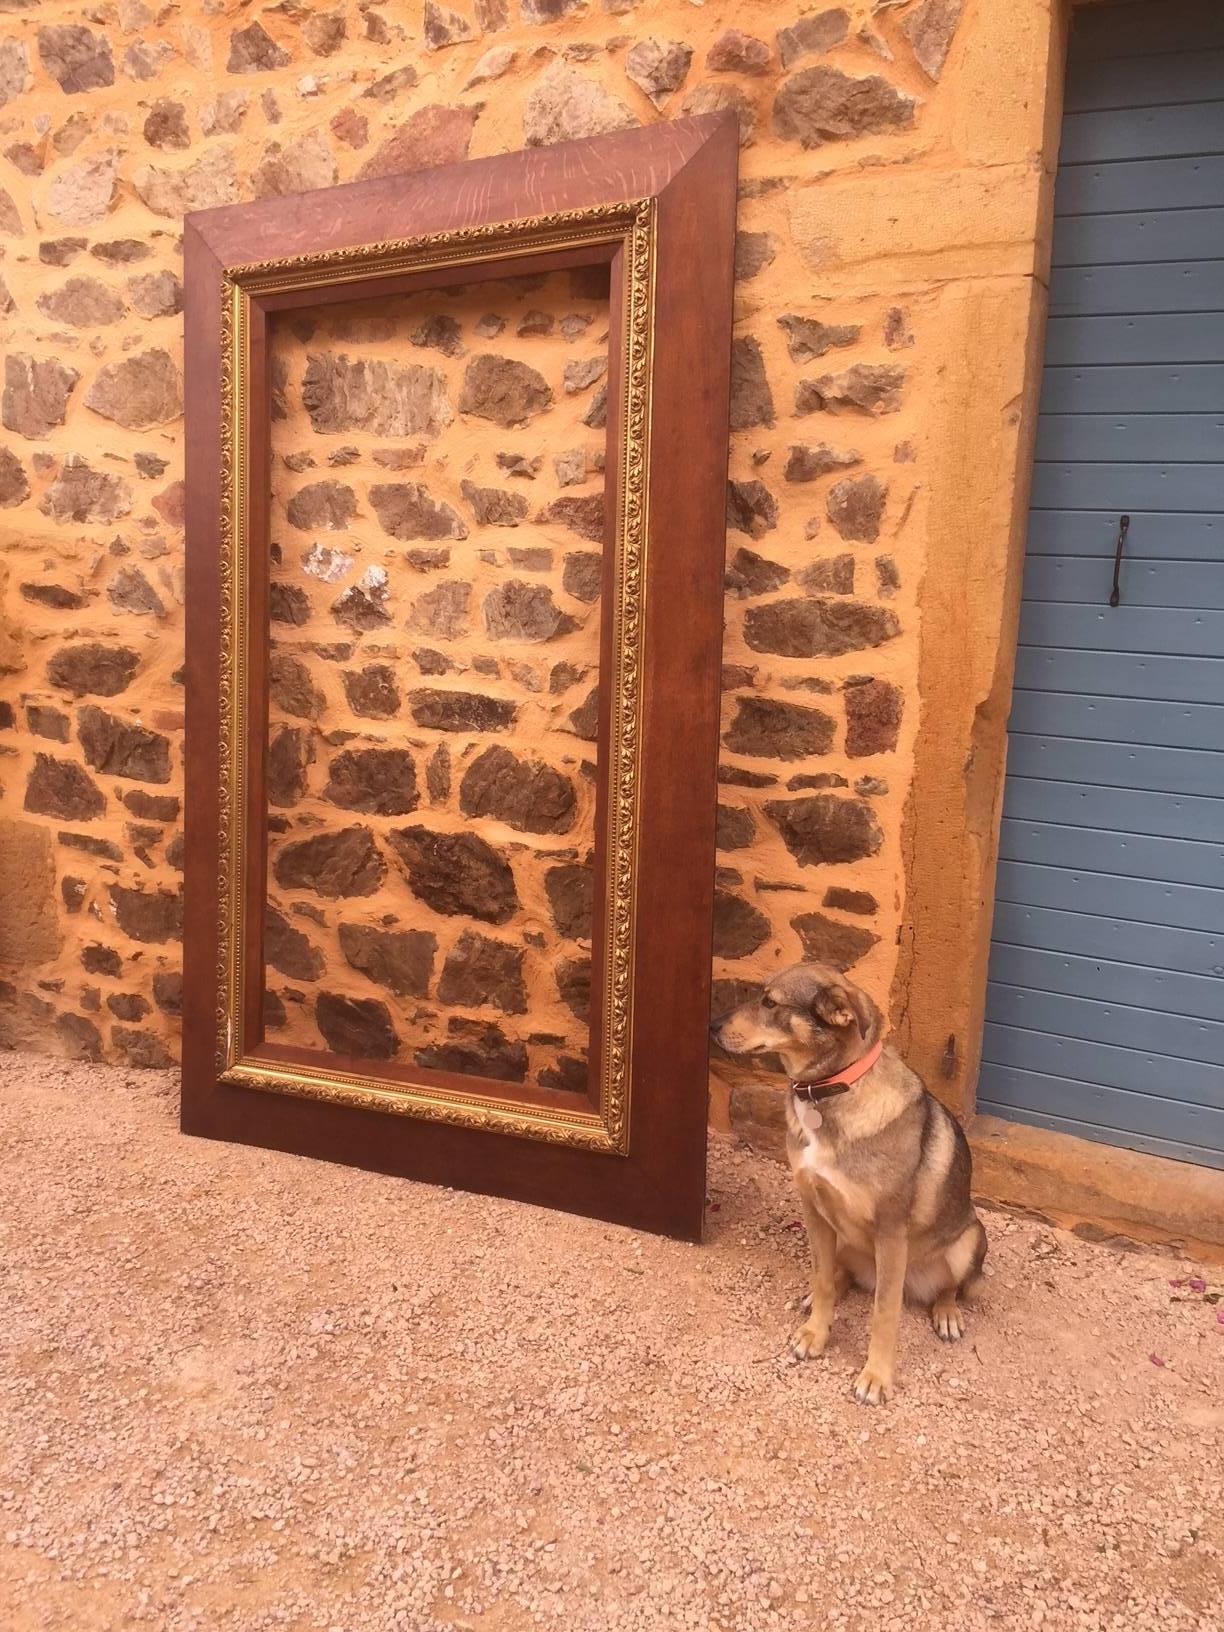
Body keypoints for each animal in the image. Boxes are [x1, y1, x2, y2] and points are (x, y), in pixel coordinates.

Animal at [714, 959, 992, 1410]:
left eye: (770, 1002)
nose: (713, 1026)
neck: (829, 1092)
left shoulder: (891, 1232)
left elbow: (884, 1314)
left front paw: (876, 1376)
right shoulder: (813, 1209)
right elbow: (824, 1278)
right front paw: (816, 1331)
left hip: (969, 1239)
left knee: (950, 1286)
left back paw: (947, 1312)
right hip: (841, 1236)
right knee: (840, 1273)